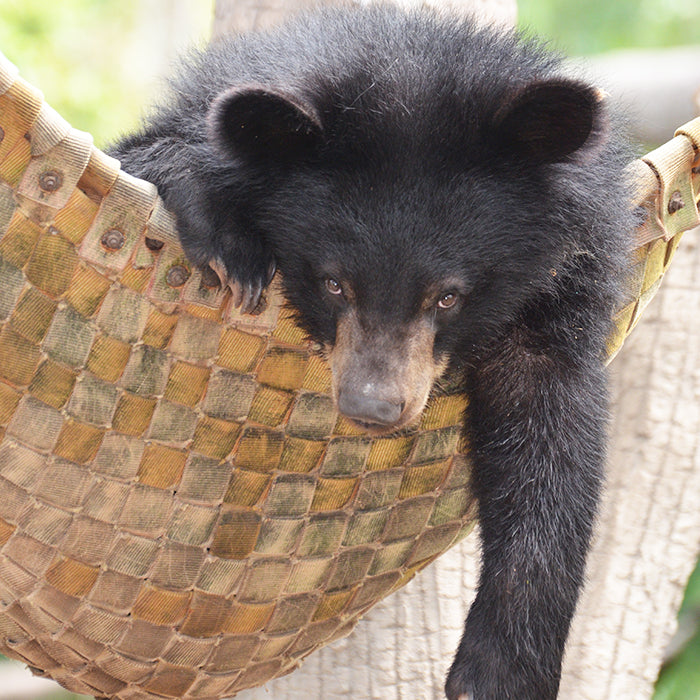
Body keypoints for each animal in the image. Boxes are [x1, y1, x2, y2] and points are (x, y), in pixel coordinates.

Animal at [109, 3, 634, 698]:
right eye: (334, 283)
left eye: (448, 296)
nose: (374, 407)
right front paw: (230, 241)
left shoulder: (565, 288)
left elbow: (553, 442)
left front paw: (497, 671)